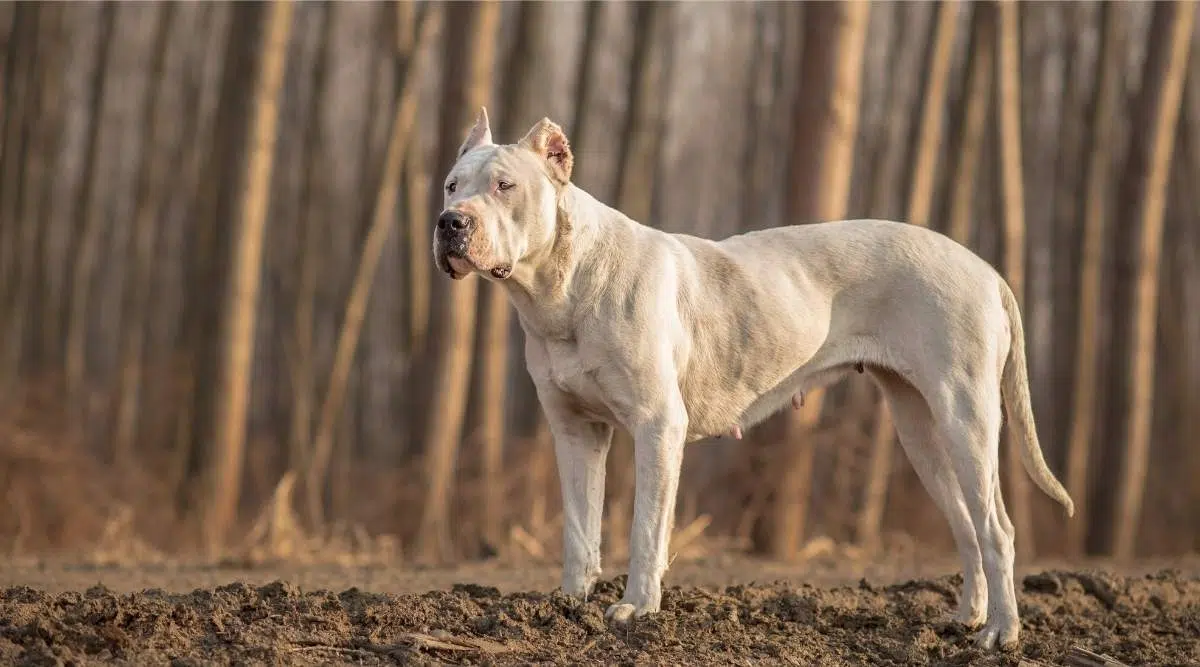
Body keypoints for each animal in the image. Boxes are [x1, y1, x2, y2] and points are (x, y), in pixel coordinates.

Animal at [436, 107, 1075, 647]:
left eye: (505, 187)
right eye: (451, 185)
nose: (449, 224)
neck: (560, 288)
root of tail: (985, 269)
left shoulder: (657, 427)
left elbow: (646, 529)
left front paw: (635, 609)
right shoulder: (575, 431)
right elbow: (578, 527)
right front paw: (567, 605)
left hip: (965, 418)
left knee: (997, 529)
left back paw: (1000, 633)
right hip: (921, 430)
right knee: (967, 526)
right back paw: (967, 618)